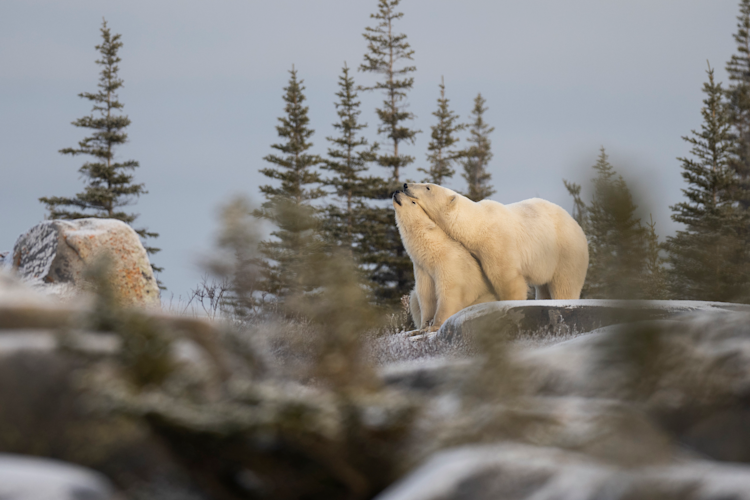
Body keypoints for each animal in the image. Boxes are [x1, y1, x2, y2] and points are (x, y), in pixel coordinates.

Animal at [392, 191, 498, 330]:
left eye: (413, 202)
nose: (397, 192)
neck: (435, 251)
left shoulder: (449, 263)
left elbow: (448, 293)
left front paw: (435, 326)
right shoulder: (423, 268)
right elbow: (425, 295)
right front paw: (423, 326)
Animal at [402, 183, 589, 301]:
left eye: (428, 186)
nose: (405, 185)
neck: (478, 225)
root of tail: (577, 225)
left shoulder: (497, 243)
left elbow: (507, 279)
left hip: (566, 253)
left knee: (565, 285)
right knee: (543, 286)